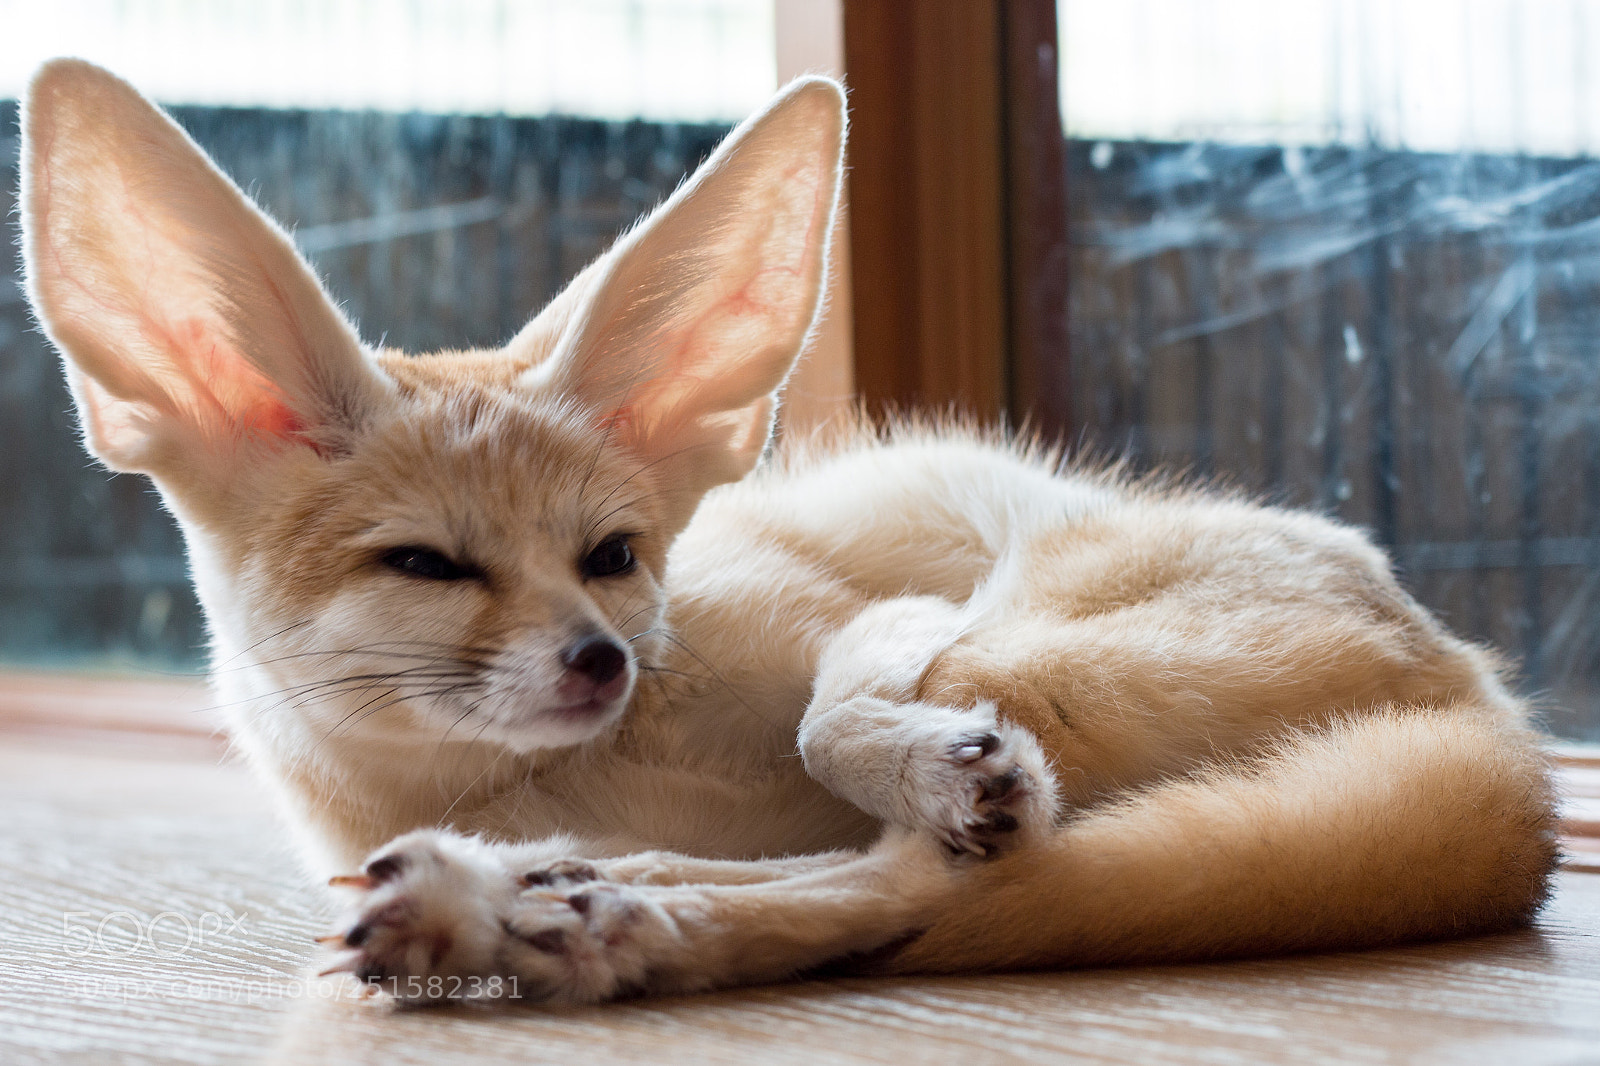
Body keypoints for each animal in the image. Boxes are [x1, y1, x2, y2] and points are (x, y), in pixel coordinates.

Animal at [19, 58, 1558, 1005]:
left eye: (613, 556)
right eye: (426, 563)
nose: (599, 660)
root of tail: (1501, 724)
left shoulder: (875, 626)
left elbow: (834, 727)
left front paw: (920, 762)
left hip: (1028, 634)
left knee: (934, 870)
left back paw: (580, 908)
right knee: (892, 887)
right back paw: (543, 914)